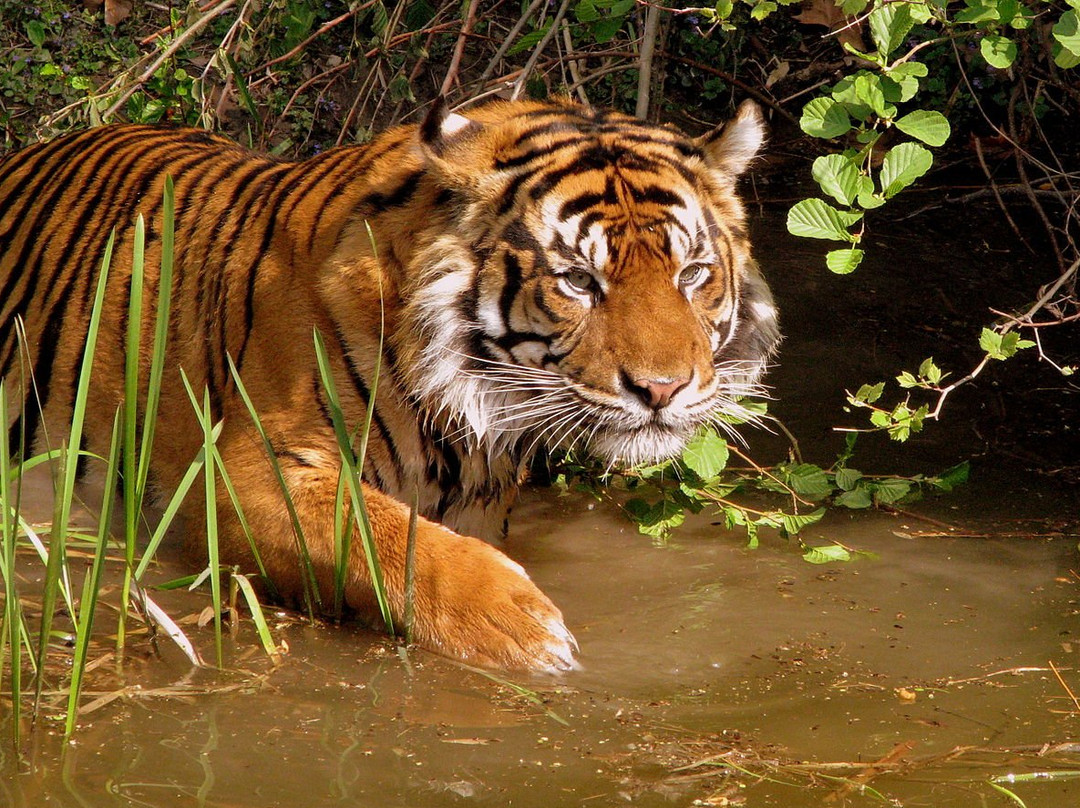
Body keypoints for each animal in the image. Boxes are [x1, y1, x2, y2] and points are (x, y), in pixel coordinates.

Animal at [0, 97, 777, 674]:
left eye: (693, 274)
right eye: (579, 281)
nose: (663, 389)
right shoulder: (236, 474)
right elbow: (391, 538)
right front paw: (526, 631)